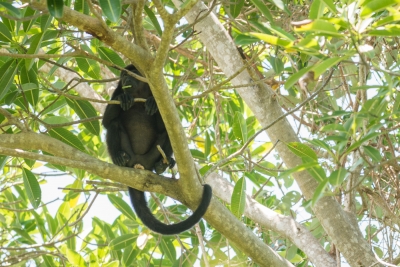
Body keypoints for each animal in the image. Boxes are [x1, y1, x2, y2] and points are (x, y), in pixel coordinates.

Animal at [103, 65, 212, 237]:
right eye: (123, 75)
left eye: (131, 73)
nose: (126, 79)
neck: (139, 92)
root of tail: (139, 163)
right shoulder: (117, 89)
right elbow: (106, 122)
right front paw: (123, 98)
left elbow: (164, 124)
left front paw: (153, 102)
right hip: (129, 153)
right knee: (114, 124)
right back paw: (119, 158)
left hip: (151, 156)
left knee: (169, 132)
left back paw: (161, 165)